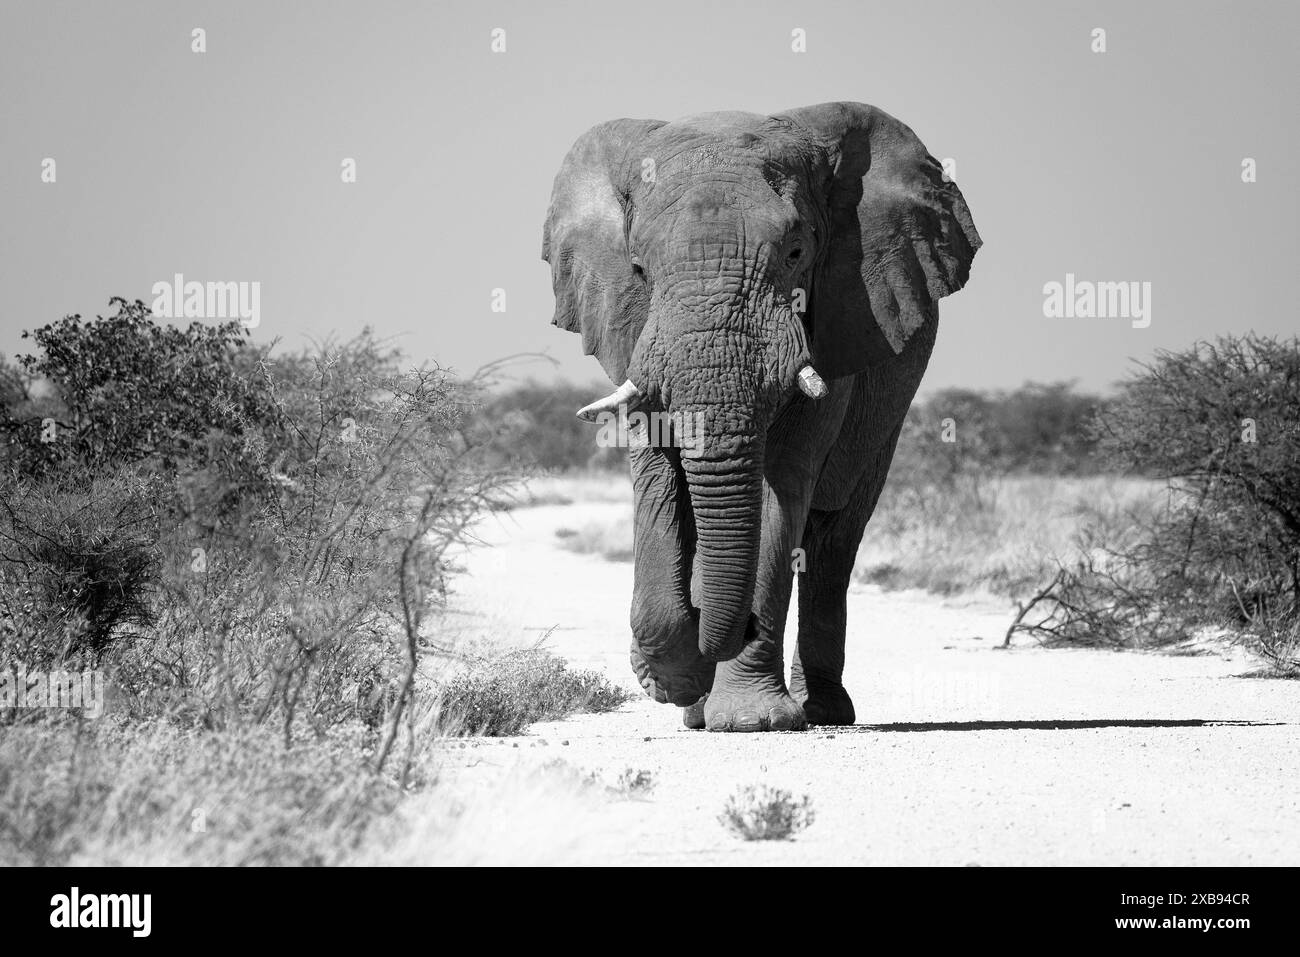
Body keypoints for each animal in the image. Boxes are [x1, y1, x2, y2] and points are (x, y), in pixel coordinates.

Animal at [541, 102, 981, 731]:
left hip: (890, 405)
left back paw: (821, 710)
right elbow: (659, 480)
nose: (740, 627)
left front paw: (751, 719)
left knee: (833, 539)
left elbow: (781, 489)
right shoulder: (632, 337)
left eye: (796, 253)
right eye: (639, 269)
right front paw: (677, 681)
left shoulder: (836, 325)